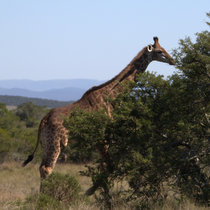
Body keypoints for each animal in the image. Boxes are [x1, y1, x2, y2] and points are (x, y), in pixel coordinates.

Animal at [22, 36, 175, 180]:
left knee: (42, 167)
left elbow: (105, 168)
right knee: (47, 169)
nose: (172, 60)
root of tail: (43, 120)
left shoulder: (100, 139)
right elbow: (109, 167)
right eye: (159, 51)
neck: (111, 96)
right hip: (56, 143)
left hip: (46, 144)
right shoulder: (103, 136)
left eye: (164, 49)